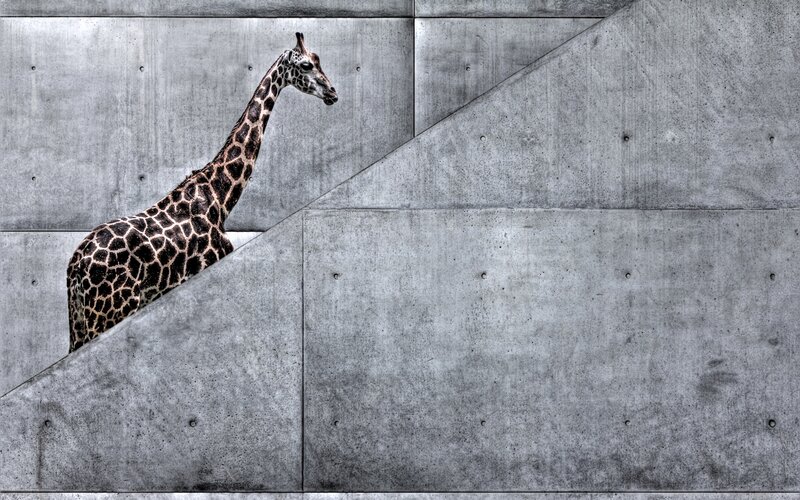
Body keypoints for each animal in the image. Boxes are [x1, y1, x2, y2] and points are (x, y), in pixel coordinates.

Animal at [67, 32, 337, 352]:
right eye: (306, 65)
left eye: (318, 60)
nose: (332, 93)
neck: (221, 196)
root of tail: (75, 266)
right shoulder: (211, 263)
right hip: (110, 311)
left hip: (82, 322)